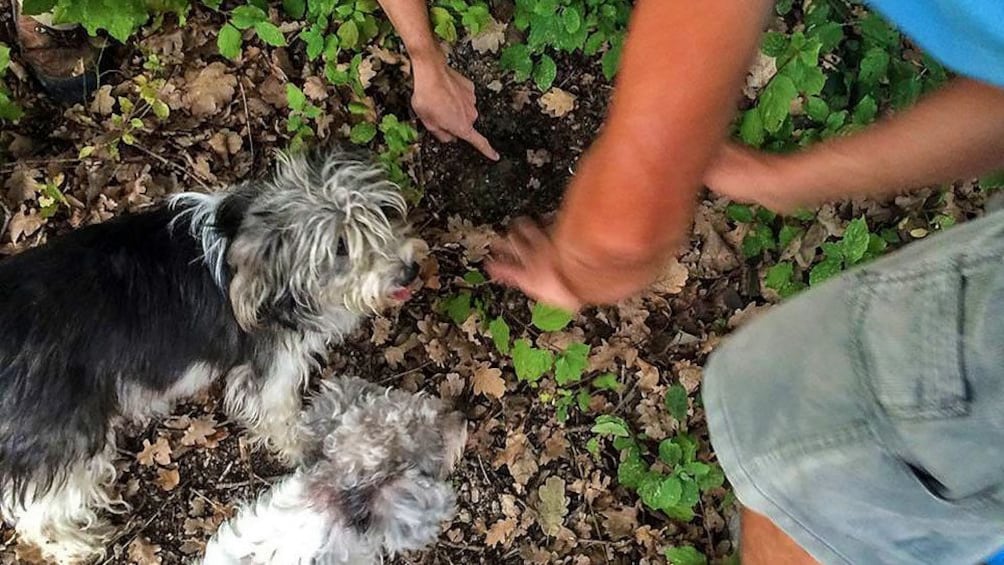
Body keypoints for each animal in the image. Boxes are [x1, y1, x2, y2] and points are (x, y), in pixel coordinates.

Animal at [0, 150, 419, 561]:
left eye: (384, 213)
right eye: (341, 247)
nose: (410, 271)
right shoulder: (271, 369)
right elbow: (281, 416)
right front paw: (304, 448)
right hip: (67, 435)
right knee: (36, 506)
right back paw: (72, 544)